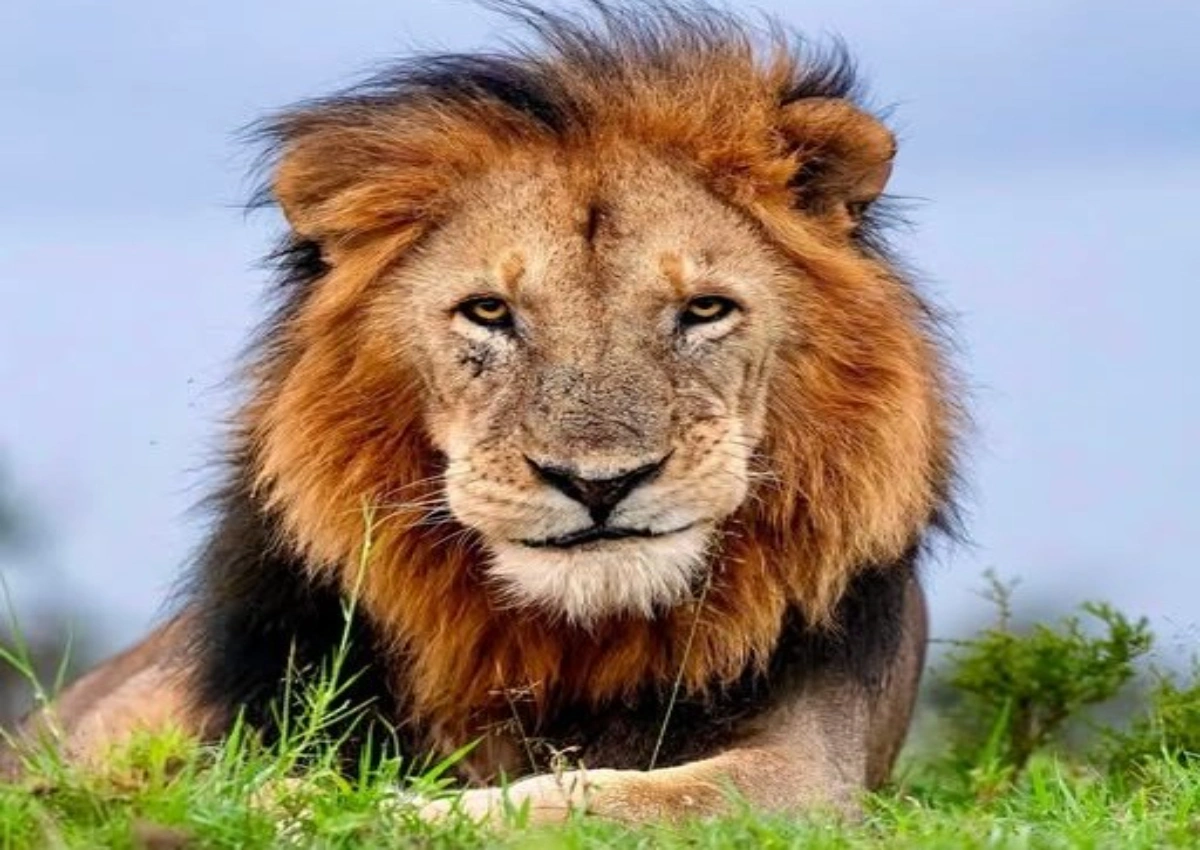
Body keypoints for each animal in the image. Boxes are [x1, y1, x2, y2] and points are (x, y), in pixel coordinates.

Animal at [11, 1, 960, 824]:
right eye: (489, 312)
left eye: (704, 310)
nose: (599, 483)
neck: (572, 643)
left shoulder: (811, 772)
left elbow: (600, 797)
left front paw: (364, 810)